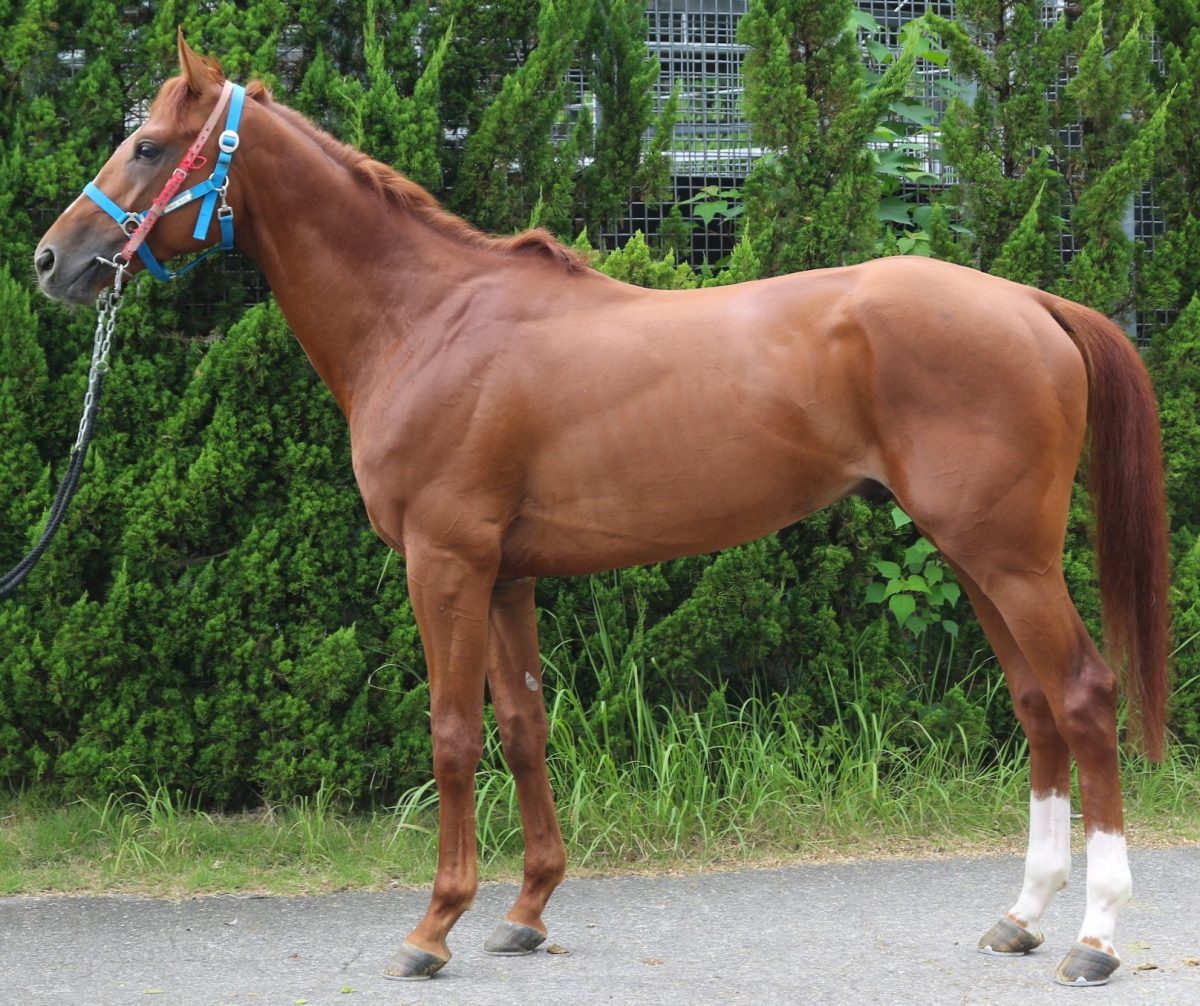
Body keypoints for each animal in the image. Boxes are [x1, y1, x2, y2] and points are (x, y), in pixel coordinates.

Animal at [34, 33, 1169, 987]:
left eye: (147, 146)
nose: (53, 260)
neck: (427, 320)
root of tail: (1029, 303)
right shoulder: (506, 576)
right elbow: (525, 726)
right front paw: (525, 911)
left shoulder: (444, 563)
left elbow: (453, 733)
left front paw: (432, 927)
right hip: (972, 555)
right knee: (1034, 705)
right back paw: (1022, 916)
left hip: (1008, 556)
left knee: (1082, 694)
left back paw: (1098, 936)